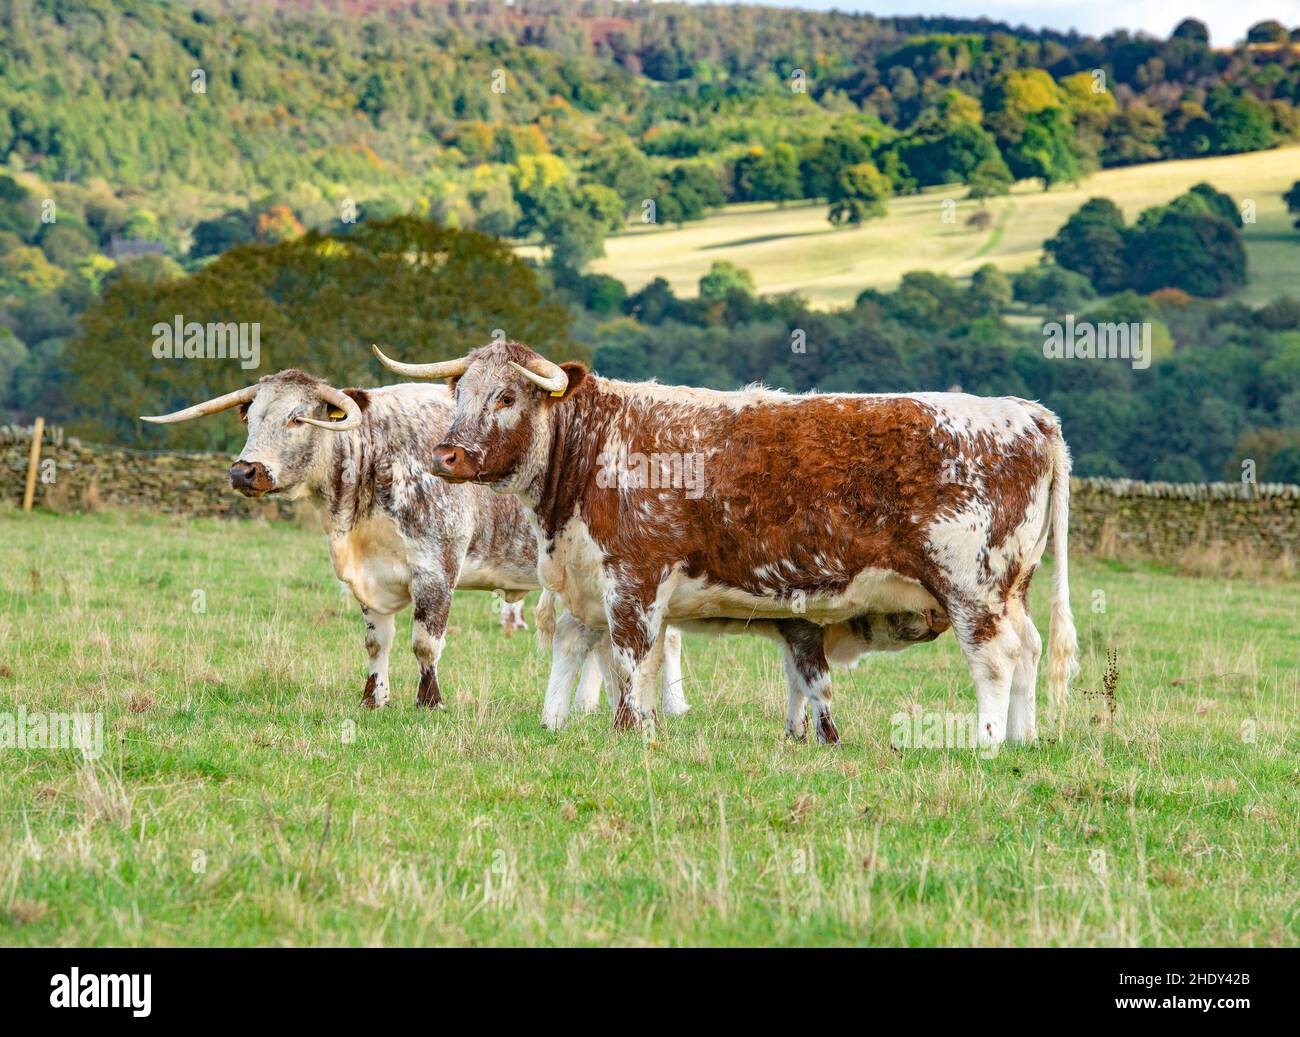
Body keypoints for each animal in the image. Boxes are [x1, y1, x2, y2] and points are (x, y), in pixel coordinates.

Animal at [374, 343, 1076, 748]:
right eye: (460, 392)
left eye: (506, 395)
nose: (447, 454)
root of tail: (1027, 412)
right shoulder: (584, 581)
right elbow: (573, 650)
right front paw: (553, 723)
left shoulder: (634, 580)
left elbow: (631, 658)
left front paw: (632, 730)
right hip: (1012, 588)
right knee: (1030, 651)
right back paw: (1025, 739)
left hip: (971, 587)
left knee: (994, 658)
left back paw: (988, 740)